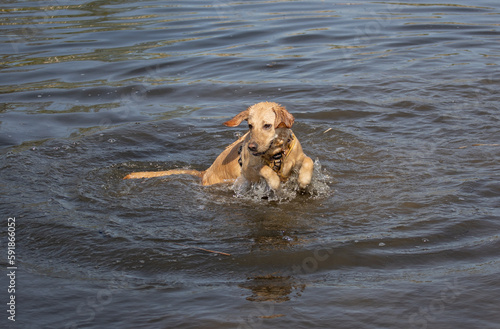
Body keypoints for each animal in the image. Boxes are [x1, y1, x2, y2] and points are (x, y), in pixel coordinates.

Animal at [124, 102, 312, 190]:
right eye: (250, 126)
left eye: (267, 125)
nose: (251, 147)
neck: (277, 152)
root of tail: (204, 173)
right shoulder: (248, 171)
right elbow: (264, 169)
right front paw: (274, 182)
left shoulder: (298, 157)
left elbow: (308, 161)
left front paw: (304, 180)